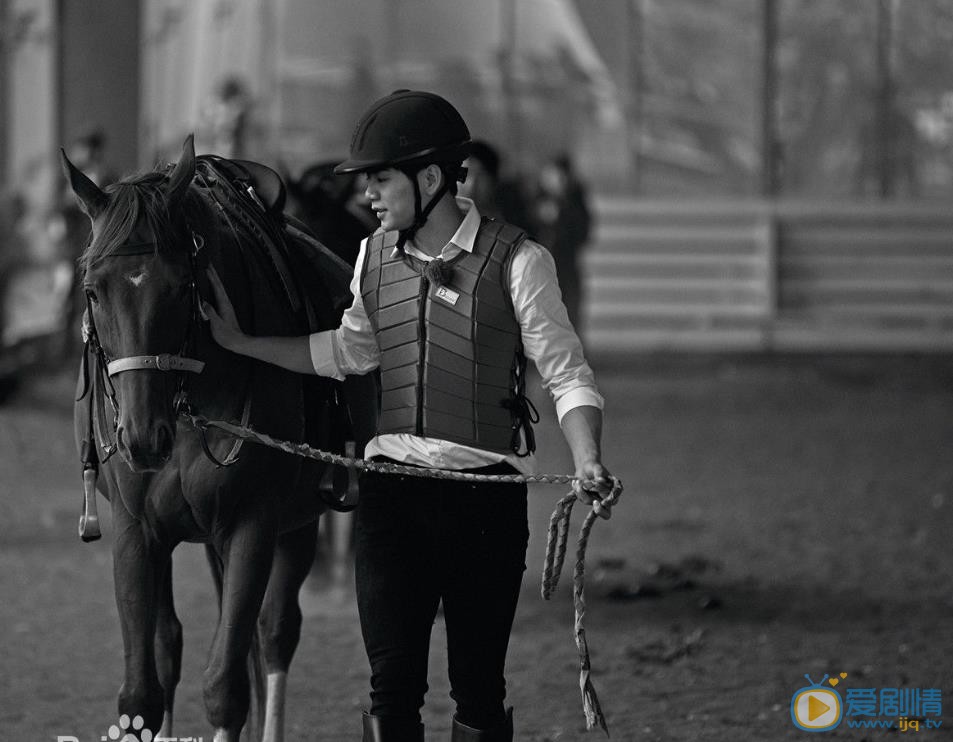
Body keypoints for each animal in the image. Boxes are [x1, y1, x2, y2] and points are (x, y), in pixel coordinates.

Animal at [60, 138, 364, 742]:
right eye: (92, 291)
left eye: (182, 286)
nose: (141, 437)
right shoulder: (137, 530)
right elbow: (144, 688)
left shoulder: (252, 526)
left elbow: (225, 688)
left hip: (295, 525)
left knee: (274, 633)